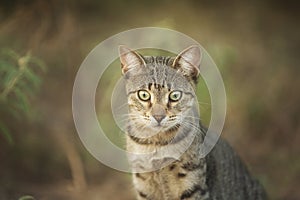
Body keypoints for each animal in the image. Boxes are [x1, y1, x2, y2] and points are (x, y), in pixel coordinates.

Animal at [118, 45, 266, 200]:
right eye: (144, 95)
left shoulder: (193, 187)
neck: (157, 143)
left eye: (175, 95)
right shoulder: (143, 185)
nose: (158, 117)